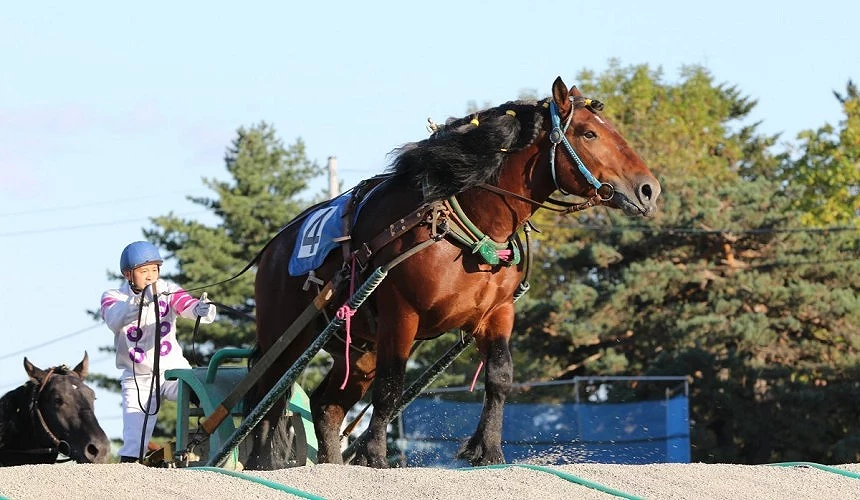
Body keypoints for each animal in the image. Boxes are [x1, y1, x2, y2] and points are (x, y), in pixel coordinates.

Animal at [247, 76, 661, 469]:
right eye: (589, 133)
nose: (649, 189)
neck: (469, 226)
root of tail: (273, 248)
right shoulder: (401, 314)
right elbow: (391, 386)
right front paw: (376, 457)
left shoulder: (497, 313)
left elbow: (500, 376)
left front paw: (489, 450)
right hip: (285, 339)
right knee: (265, 398)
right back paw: (261, 462)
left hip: (358, 349)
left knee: (326, 406)